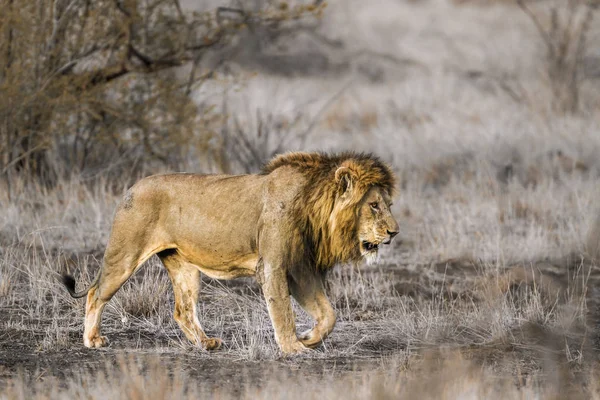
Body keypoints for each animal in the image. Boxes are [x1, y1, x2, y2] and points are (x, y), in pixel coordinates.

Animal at [63, 152, 400, 354]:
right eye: (373, 205)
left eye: (389, 204)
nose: (394, 232)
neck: (313, 206)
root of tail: (131, 188)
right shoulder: (273, 265)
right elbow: (283, 311)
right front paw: (293, 347)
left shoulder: (300, 267)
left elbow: (328, 313)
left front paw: (309, 338)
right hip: (126, 255)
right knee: (95, 293)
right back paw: (92, 340)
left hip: (184, 266)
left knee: (182, 310)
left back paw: (206, 343)